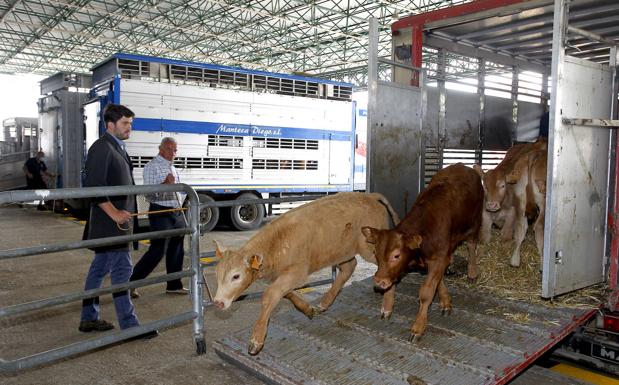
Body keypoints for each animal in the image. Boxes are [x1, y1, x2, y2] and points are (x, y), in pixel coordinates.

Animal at [211, 192, 400, 354]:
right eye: (217, 275)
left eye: (236, 276)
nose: (218, 302)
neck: (276, 244)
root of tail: (369, 196)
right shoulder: (284, 276)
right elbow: (285, 293)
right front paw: (307, 309)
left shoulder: (298, 272)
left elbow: (269, 295)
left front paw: (256, 340)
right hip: (341, 251)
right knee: (349, 267)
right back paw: (324, 303)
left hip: (369, 248)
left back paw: (387, 307)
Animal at [364, 164, 484, 340]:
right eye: (375, 253)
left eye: (396, 255)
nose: (379, 282)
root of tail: (466, 167)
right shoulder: (438, 258)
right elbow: (437, 280)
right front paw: (387, 306)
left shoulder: (439, 257)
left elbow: (426, 291)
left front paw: (418, 327)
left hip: (475, 223)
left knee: (471, 246)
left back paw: (472, 272)